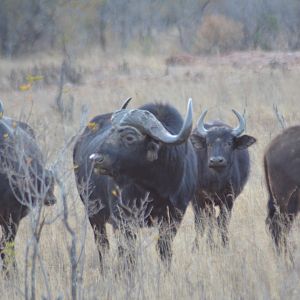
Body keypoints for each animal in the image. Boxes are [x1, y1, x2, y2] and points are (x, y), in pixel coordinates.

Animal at [71, 98, 196, 270]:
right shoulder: (123, 220)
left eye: (129, 137)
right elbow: (127, 253)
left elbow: (164, 249)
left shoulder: (174, 217)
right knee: (103, 245)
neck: (156, 188)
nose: (95, 158)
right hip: (93, 213)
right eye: (111, 132)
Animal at [190, 109, 255, 246]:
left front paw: (224, 244)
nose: (216, 161)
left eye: (229, 143)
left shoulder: (229, 199)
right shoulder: (200, 198)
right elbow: (205, 222)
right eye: (209, 143)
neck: (217, 181)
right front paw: (204, 245)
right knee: (203, 220)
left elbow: (223, 222)